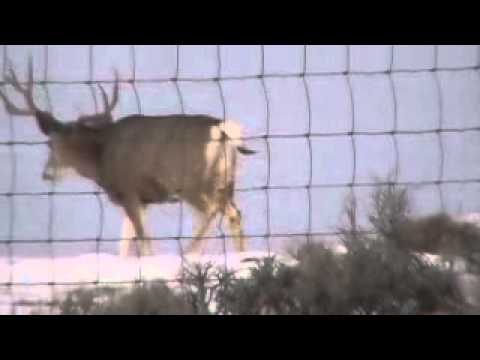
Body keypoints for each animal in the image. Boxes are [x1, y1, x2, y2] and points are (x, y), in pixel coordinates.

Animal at [0, 57, 256, 258]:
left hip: (194, 182)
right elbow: (124, 243)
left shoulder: (129, 190)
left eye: (51, 144)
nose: (47, 173)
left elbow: (143, 241)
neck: (102, 157)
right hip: (225, 182)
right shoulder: (140, 199)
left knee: (213, 212)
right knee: (234, 214)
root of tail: (224, 129)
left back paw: (188, 253)